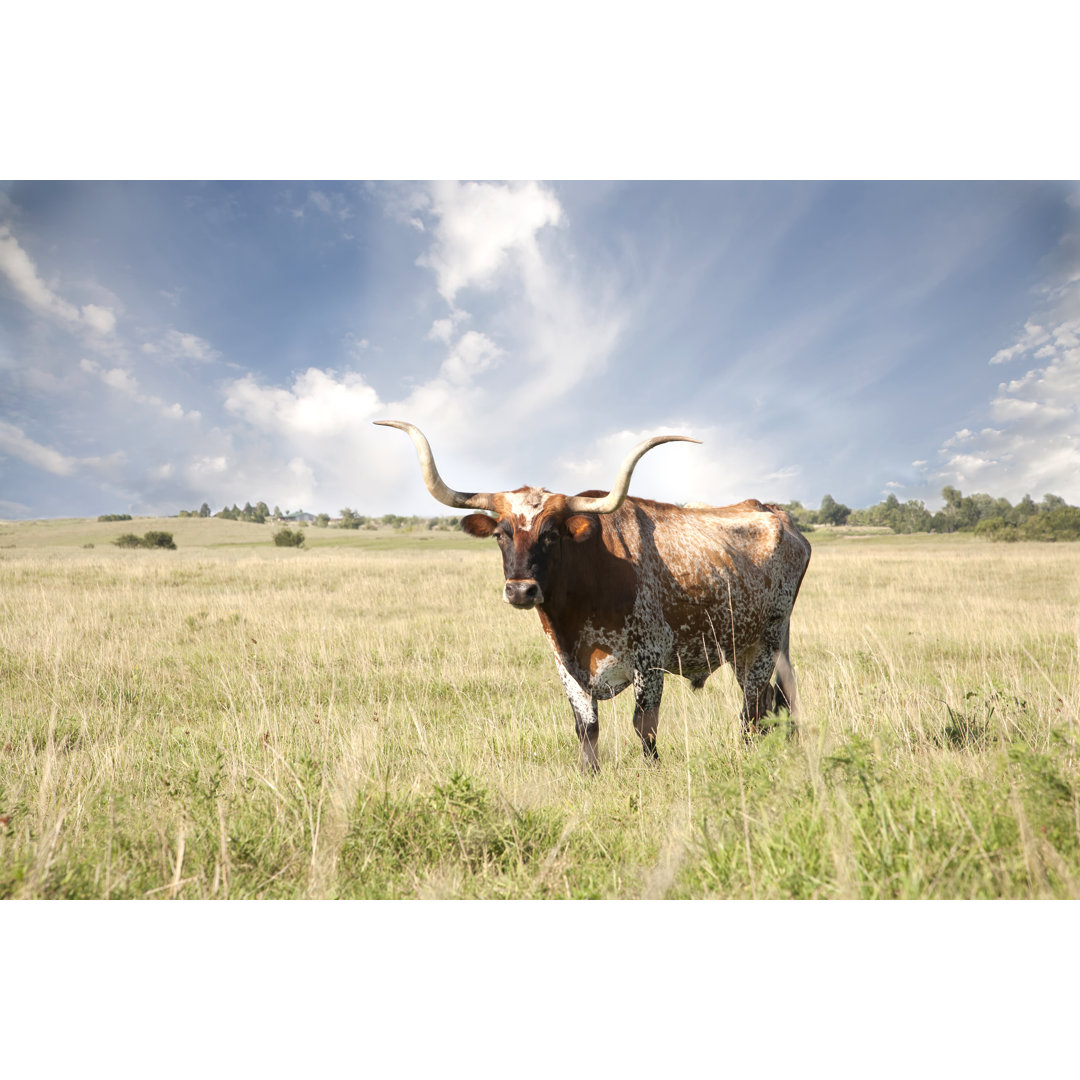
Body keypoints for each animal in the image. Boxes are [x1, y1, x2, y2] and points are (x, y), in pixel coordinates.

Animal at [375, 419, 807, 768]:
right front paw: (589, 775)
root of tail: (776, 512)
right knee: (770, 703)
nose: (520, 590)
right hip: (742, 646)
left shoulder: (650, 659)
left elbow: (644, 727)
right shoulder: (566, 665)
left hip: (767, 641)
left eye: (551, 535)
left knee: (753, 710)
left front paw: (652, 773)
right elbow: (587, 727)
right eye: (501, 534)